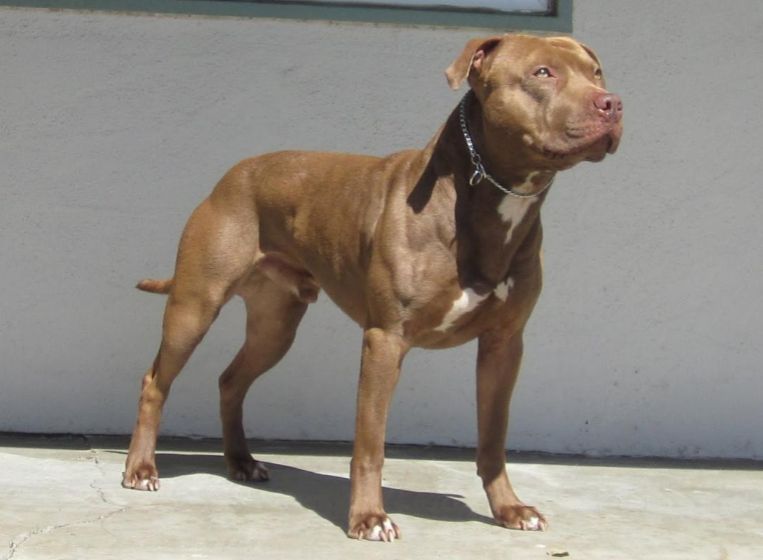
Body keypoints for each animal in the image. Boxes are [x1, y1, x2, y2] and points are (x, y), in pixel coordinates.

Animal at [122, 33, 623, 541]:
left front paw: (509, 508)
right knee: (155, 382)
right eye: (543, 73)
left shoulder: (504, 345)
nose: (613, 103)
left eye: (596, 72)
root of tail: (231, 175)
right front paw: (367, 517)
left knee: (231, 380)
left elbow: (493, 437)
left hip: (274, 327)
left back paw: (241, 461)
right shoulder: (385, 341)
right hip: (195, 306)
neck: (484, 195)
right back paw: (141, 469)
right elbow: (370, 443)